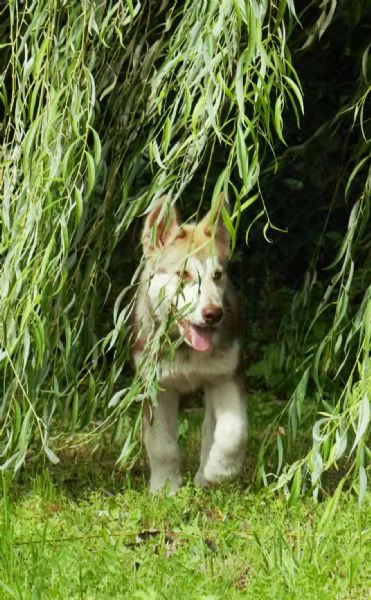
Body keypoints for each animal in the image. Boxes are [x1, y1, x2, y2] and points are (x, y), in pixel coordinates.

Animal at [134, 198, 247, 492]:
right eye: (183, 274)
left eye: (217, 275)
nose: (213, 314)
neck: (186, 351)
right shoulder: (157, 386)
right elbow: (161, 444)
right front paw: (164, 487)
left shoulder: (226, 375)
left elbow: (234, 432)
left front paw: (219, 470)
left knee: (211, 427)